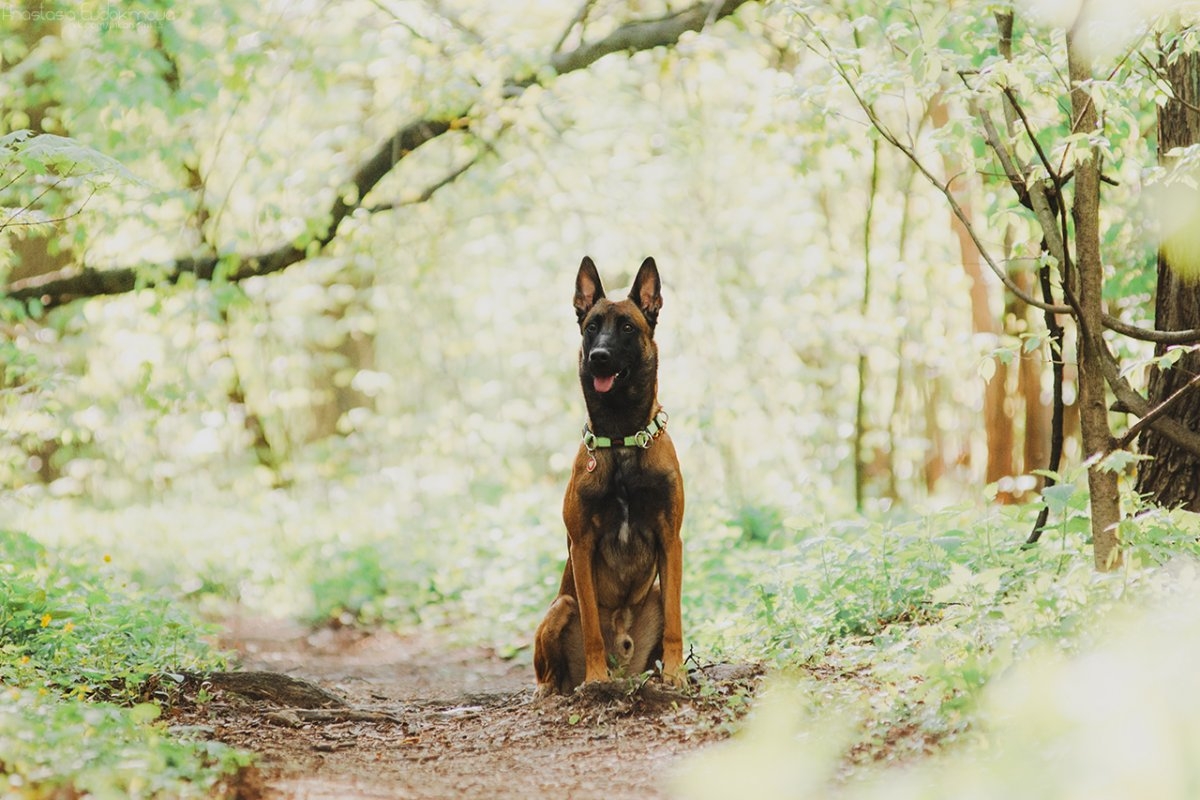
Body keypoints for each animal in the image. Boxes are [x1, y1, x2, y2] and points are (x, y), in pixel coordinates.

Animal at [535, 256, 686, 695]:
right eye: (591, 326)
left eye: (628, 328)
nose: (599, 356)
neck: (621, 437)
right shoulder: (581, 545)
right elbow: (590, 629)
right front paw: (595, 677)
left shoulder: (671, 540)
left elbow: (675, 620)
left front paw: (676, 673)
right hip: (558, 607)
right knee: (550, 667)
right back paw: (555, 688)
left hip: (654, 590)